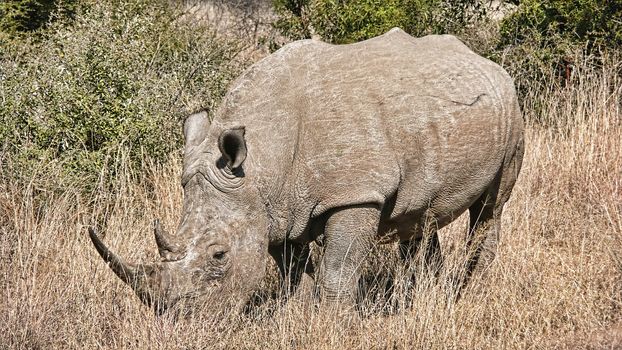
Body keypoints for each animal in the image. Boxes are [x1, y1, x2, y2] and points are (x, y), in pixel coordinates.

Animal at [89, 28, 528, 314]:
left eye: (219, 255)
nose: (178, 319)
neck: (260, 164)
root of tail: (483, 60)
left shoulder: (356, 193)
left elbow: (337, 270)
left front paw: (332, 323)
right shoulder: (274, 208)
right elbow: (291, 270)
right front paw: (294, 314)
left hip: (512, 109)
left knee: (492, 207)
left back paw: (467, 294)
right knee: (421, 216)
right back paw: (424, 296)